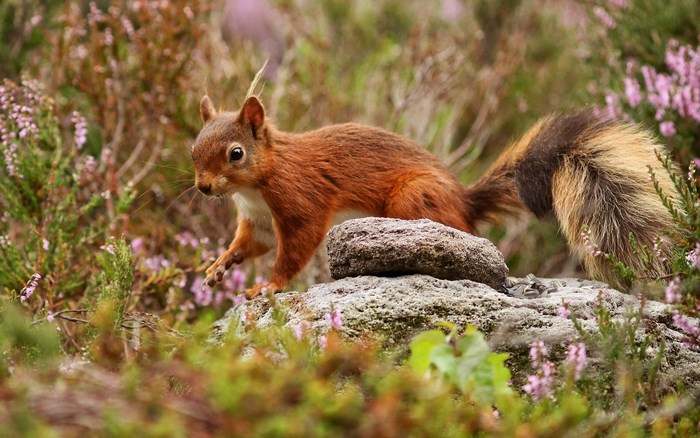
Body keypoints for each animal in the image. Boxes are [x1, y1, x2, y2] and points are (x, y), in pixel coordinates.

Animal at [191, 94, 679, 299]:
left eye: (236, 153)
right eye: (194, 148)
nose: (202, 187)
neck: (254, 188)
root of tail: (464, 201)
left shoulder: (301, 200)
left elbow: (294, 248)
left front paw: (267, 286)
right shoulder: (256, 220)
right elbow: (249, 245)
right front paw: (218, 267)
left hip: (413, 198)